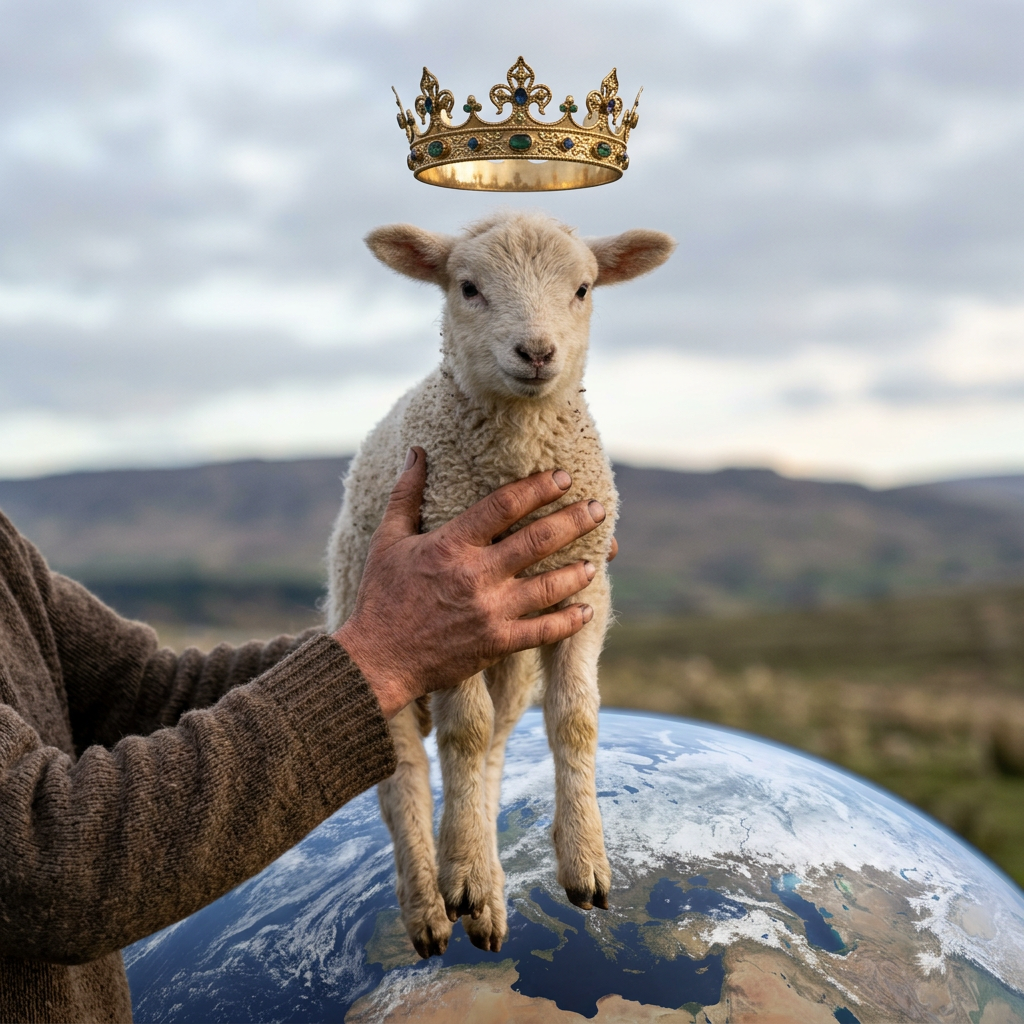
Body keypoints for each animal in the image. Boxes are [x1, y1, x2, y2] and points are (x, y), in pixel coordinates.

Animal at [326, 210, 675, 958]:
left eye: (583, 288)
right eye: (468, 287)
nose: (537, 352)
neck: (519, 448)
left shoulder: (582, 591)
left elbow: (574, 720)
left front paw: (584, 860)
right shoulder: (448, 606)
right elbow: (462, 732)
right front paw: (458, 874)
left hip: (513, 662)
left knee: (493, 751)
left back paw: (481, 885)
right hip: (365, 630)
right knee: (406, 771)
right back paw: (432, 902)